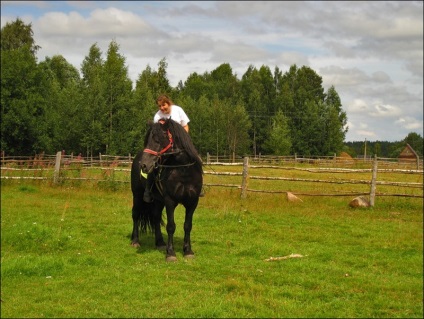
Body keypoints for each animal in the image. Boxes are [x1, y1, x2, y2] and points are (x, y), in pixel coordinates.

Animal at [130, 119, 203, 262]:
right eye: (148, 140)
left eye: (158, 140)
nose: (144, 165)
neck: (183, 170)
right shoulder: (170, 201)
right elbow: (171, 226)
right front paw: (171, 253)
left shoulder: (192, 202)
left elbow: (188, 225)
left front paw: (188, 251)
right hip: (137, 195)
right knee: (135, 215)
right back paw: (135, 241)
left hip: (158, 201)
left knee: (156, 217)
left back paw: (160, 243)